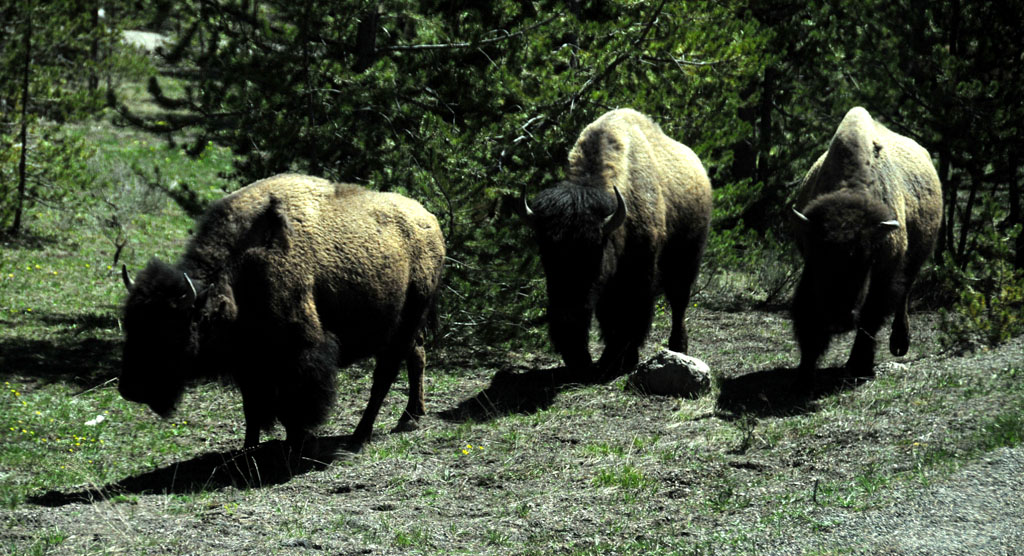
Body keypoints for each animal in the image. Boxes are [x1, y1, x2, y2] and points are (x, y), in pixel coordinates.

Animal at [118, 174, 444, 452]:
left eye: (171, 331)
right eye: (130, 324)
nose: (130, 390)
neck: (238, 274)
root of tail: (429, 220)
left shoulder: (300, 353)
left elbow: (294, 404)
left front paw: (296, 443)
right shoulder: (247, 364)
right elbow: (252, 407)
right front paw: (248, 449)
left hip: (405, 323)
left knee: (384, 377)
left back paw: (359, 437)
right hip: (401, 328)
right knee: (416, 355)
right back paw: (410, 418)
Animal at [520, 107, 712, 382]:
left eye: (593, 252)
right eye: (546, 254)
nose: (567, 315)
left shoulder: (638, 277)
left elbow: (629, 318)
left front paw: (617, 360)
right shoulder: (605, 287)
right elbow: (609, 319)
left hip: (686, 263)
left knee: (678, 304)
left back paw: (678, 347)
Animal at [790, 107, 942, 378]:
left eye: (866, 259)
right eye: (819, 256)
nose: (838, 317)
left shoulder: (884, 272)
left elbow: (871, 316)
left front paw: (858, 364)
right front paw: (805, 366)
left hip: (915, 261)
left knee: (903, 296)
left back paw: (899, 343)